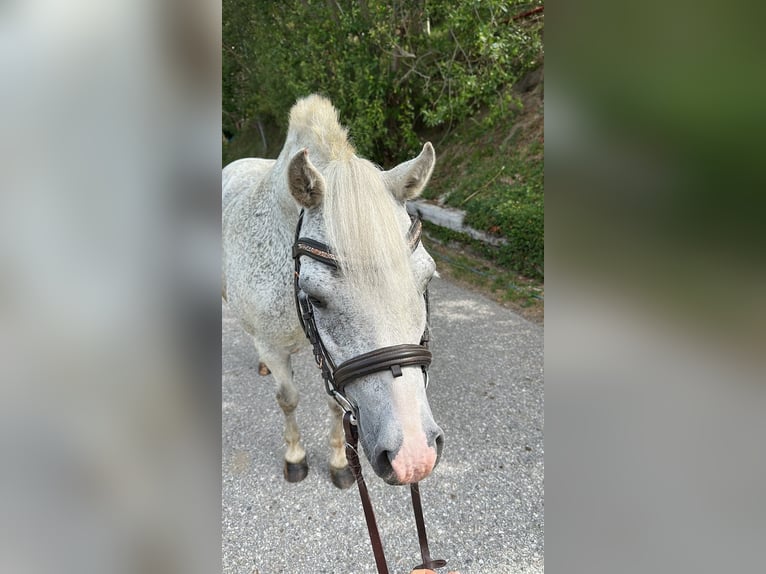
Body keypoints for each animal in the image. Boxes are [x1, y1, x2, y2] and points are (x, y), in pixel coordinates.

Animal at [222, 94, 443, 488]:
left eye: (426, 280)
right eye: (316, 297)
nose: (414, 455)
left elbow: (335, 405)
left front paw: (340, 462)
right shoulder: (274, 346)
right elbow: (288, 399)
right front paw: (295, 457)